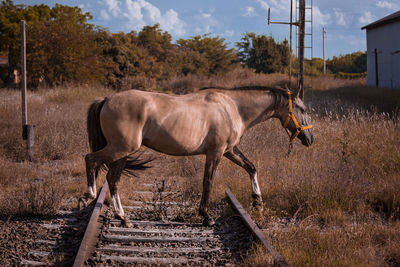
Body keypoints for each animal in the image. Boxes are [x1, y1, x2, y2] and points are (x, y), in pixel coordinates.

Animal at [83, 86, 314, 228]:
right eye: (302, 109)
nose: (310, 138)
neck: (233, 108)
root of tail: (106, 99)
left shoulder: (230, 150)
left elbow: (251, 167)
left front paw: (257, 201)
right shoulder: (216, 153)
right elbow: (208, 182)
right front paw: (206, 217)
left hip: (122, 153)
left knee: (113, 180)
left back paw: (123, 218)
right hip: (120, 149)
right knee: (91, 160)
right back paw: (89, 195)